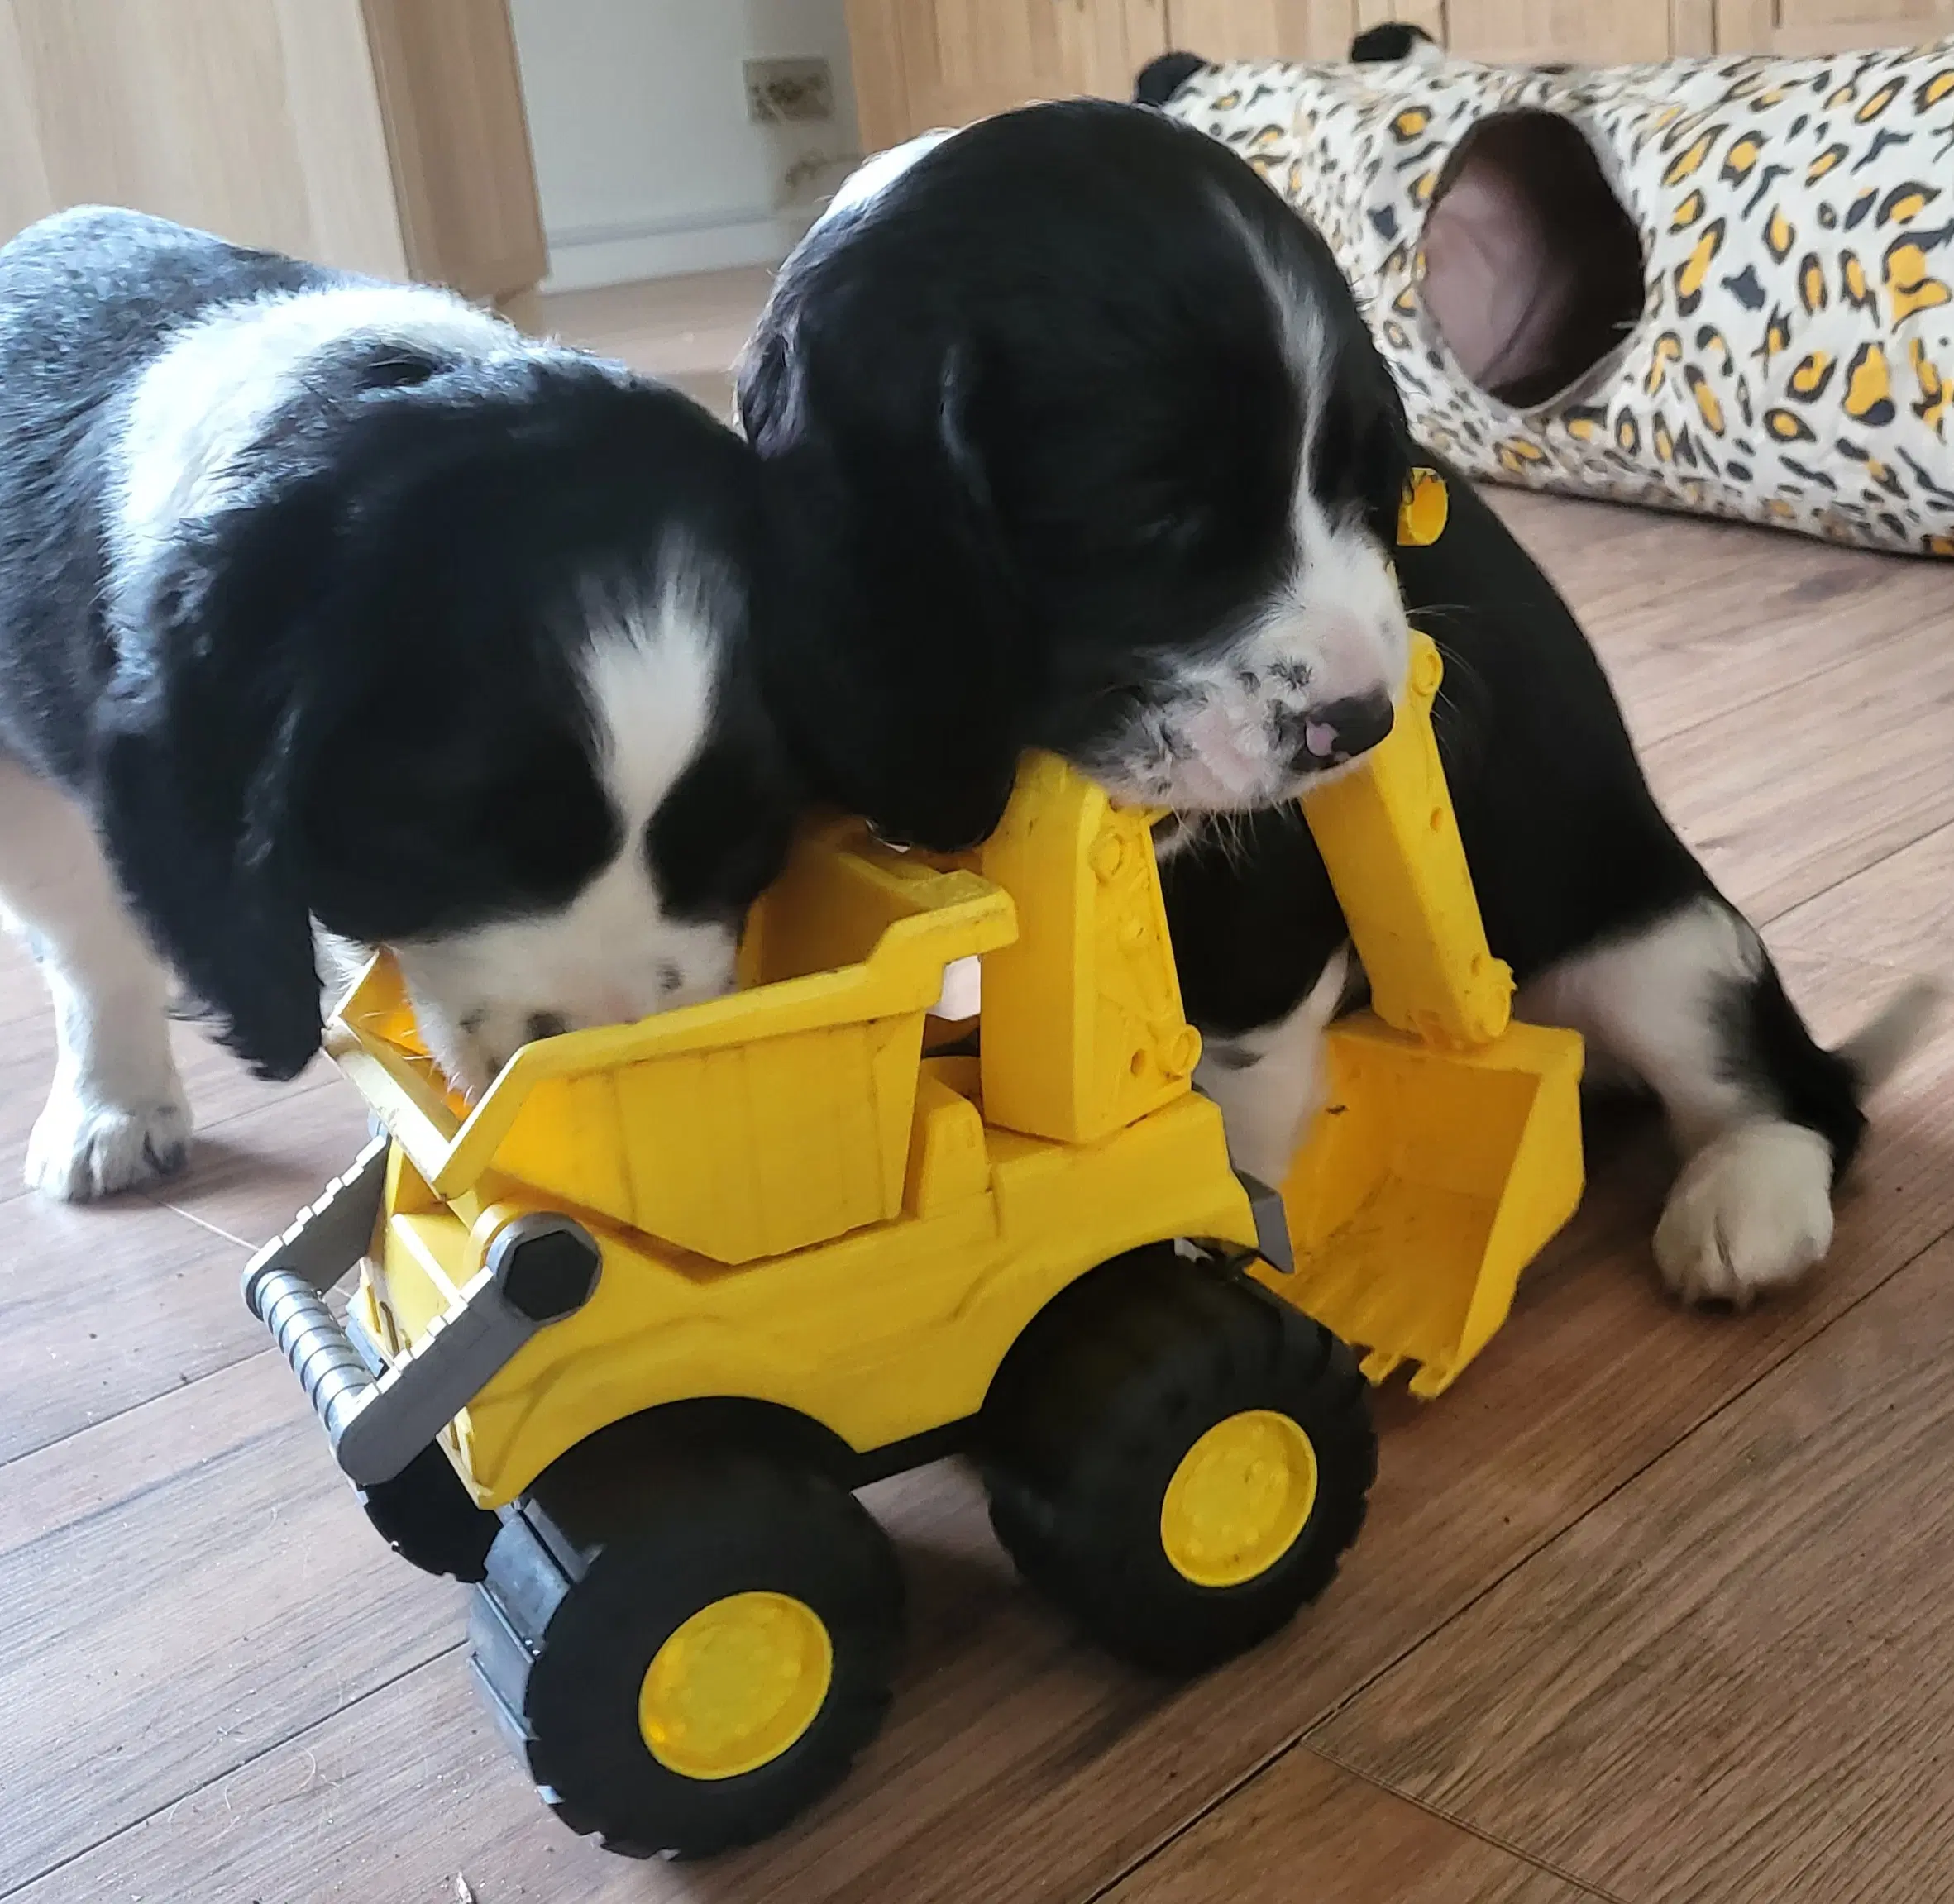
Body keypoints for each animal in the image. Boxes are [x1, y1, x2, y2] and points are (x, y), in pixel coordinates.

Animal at [738, 104, 1930, 1312]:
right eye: (1152, 515)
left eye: (1367, 481)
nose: (1362, 727)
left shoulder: (1264, 877)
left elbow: (1232, 1065)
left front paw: (1202, 1235)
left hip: (1654, 945)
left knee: (1784, 1078)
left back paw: (1745, 1205)